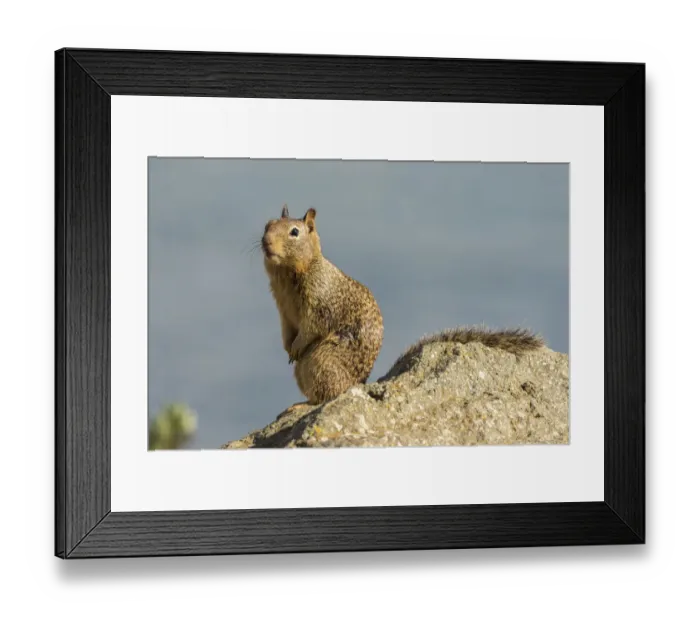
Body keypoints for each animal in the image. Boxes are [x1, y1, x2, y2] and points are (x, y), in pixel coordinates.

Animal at [261, 205, 544, 406]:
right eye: (268, 224)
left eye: (294, 232)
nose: (265, 242)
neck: (289, 273)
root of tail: (361, 384)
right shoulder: (283, 310)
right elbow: (288, 330)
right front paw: (288, 348)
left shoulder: (319, 303)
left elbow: (312, 326)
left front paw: (296, 346)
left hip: (321, 360)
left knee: (330, 392)